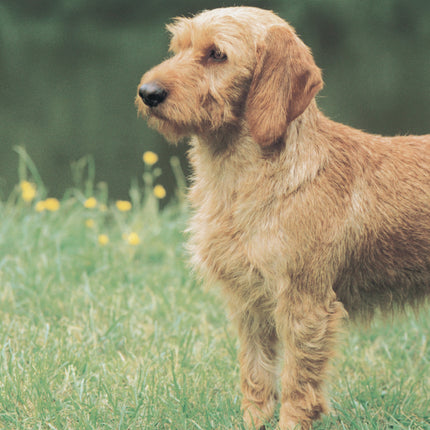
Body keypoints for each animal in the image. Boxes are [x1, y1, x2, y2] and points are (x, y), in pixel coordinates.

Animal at [135, 7, 430, 430]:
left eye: (217, 54)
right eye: (179, 47)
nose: (148, 92)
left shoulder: (305, 305)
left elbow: (296, 386)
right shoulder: (250, 304)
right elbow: (256, 377)